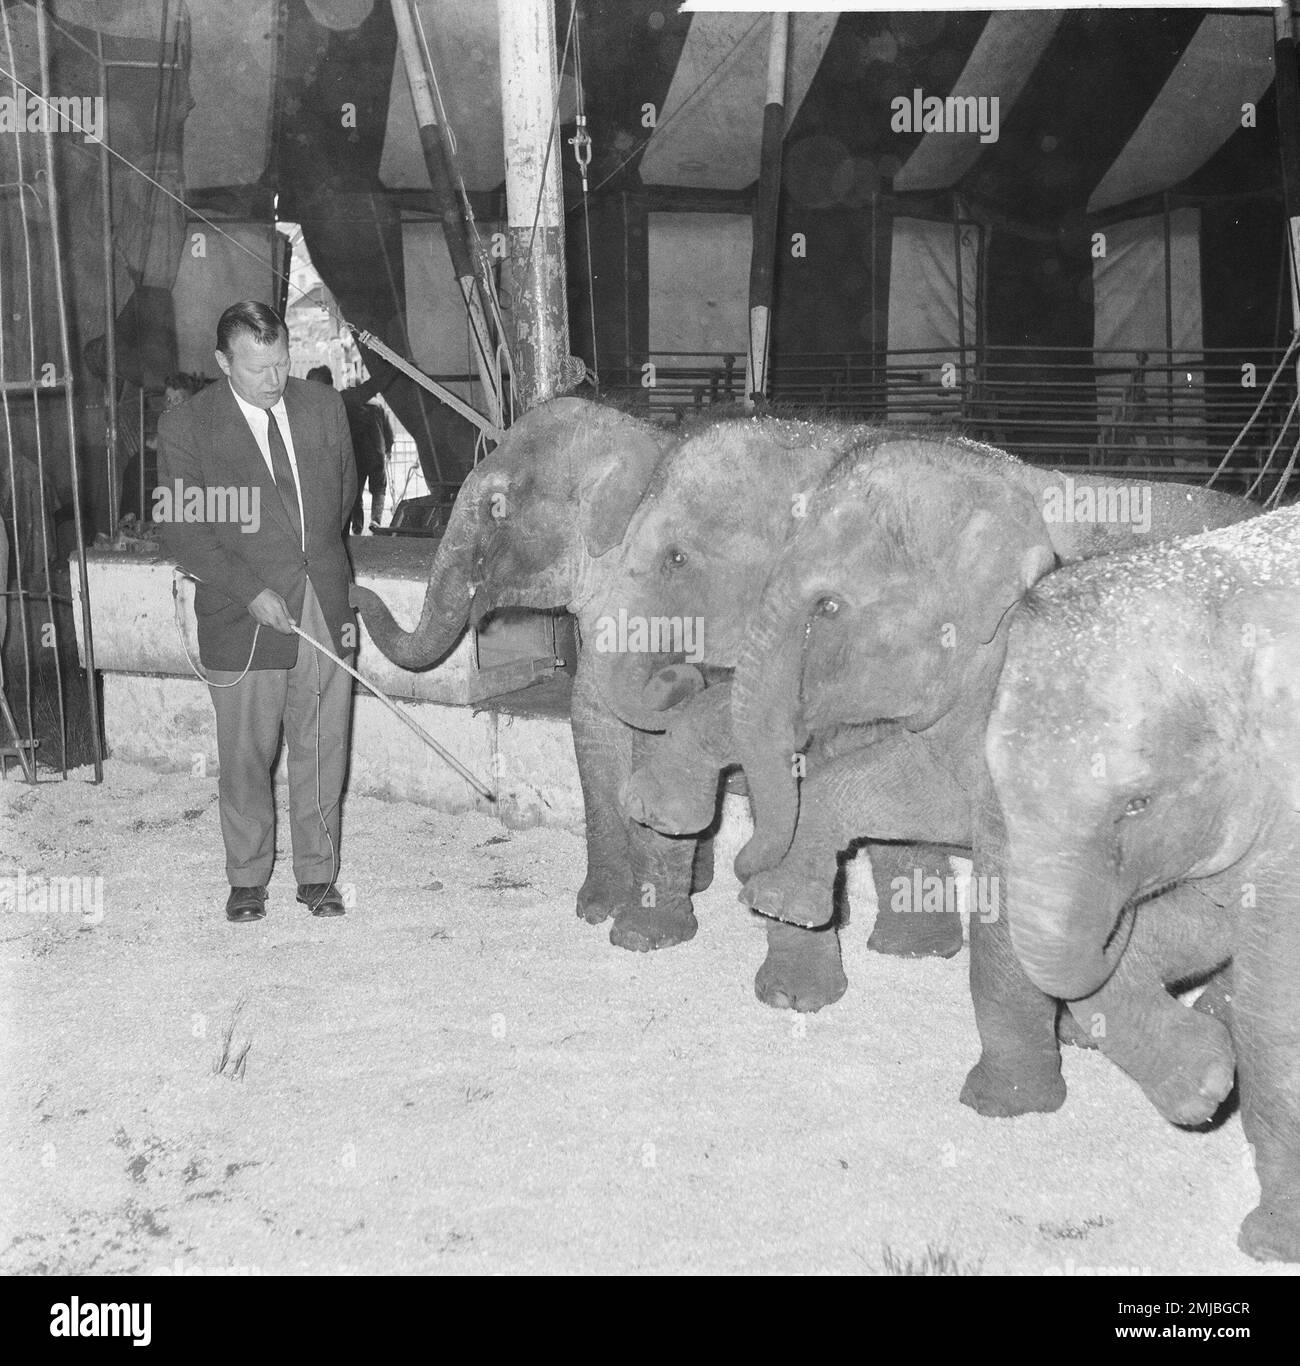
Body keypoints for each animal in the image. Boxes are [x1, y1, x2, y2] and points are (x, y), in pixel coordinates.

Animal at [348, 396, 710, 950]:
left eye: (498, 508)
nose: (353, 590)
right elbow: (592, 716)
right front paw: (596, 909)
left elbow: (663, 728)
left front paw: (644, 932)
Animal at [710, 437, 1261, 1120]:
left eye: (829, 608)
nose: (740, 880)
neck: (1013, 482)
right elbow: (907, 793)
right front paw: (787, 917)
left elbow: (1009, 898)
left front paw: (1007, 1105)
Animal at [983, 508, 1300, 1262]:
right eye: (998, 782)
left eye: (1137, 804)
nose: (1111, 913)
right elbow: (1195, 930)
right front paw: (1204, 1080)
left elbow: (1276, 1012)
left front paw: (1271, 1247)